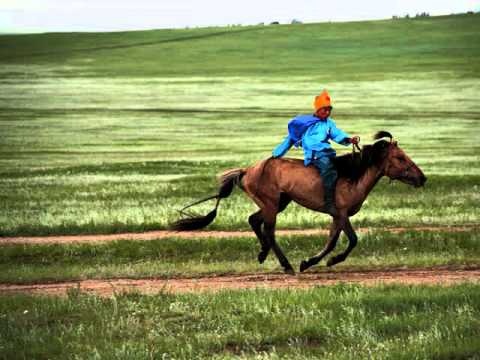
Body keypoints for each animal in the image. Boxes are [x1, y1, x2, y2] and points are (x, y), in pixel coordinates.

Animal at [171, 131, 426, 274]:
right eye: (400, 157)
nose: (422, 178)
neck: (352, 176)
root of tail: (247, 171)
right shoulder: (341, 213)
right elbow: (351, 240)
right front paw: (328, 261)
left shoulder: (336, 216)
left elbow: (332, 241)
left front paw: (311, 262)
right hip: (271, 205)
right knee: (268, 230)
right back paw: (286, 264)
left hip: (278, 203)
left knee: (253, 220)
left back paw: (263, 254)